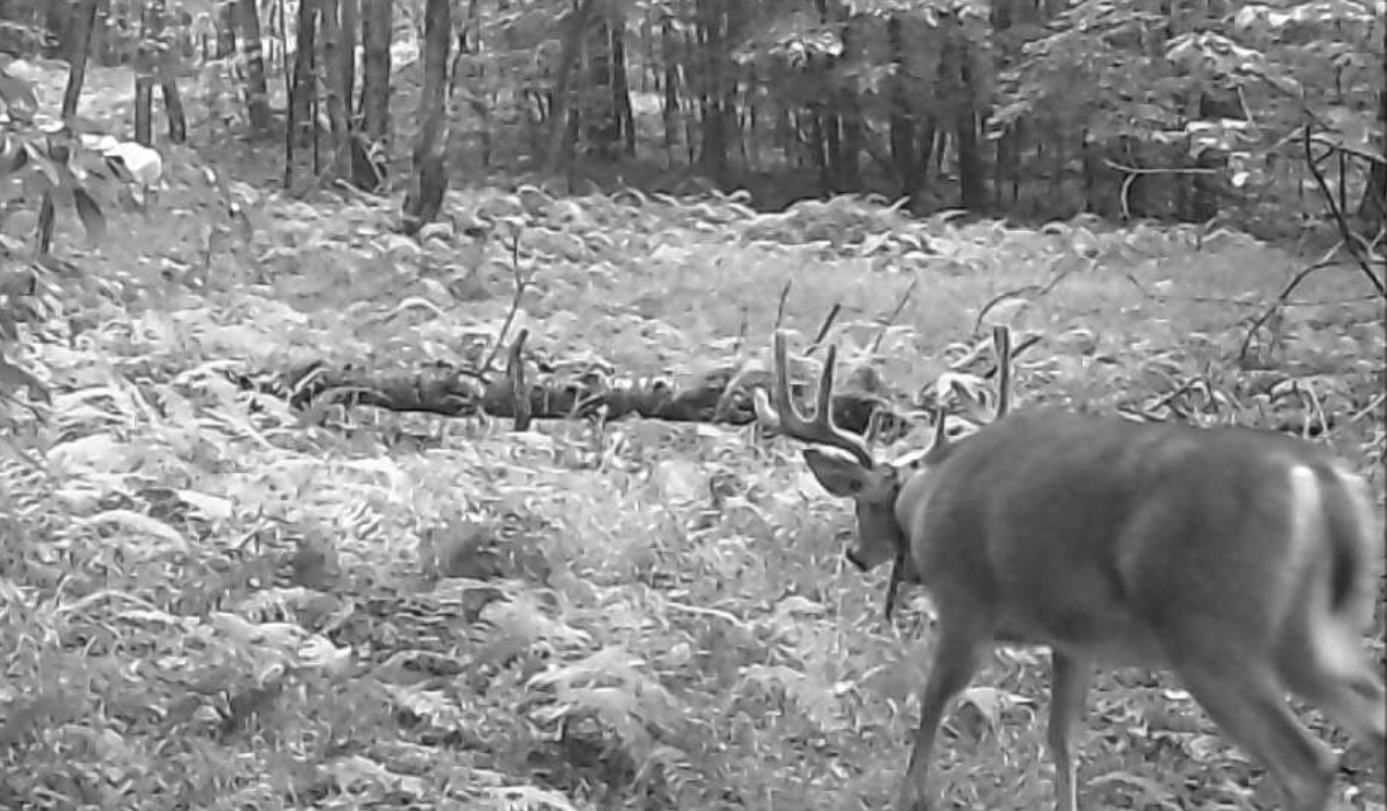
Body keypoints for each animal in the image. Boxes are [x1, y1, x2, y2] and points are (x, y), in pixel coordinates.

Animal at [754, 327, 1381, 809]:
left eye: (862, 502)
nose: (857, 554)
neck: (925, 499)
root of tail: (1317, 479)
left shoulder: (965, 608)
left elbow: (933, 707)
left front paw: (907, 797)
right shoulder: (1072, 638)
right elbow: (1063, 739)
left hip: (1212, 633)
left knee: (1309, 760)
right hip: (1308, 634)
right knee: (1369, 716)